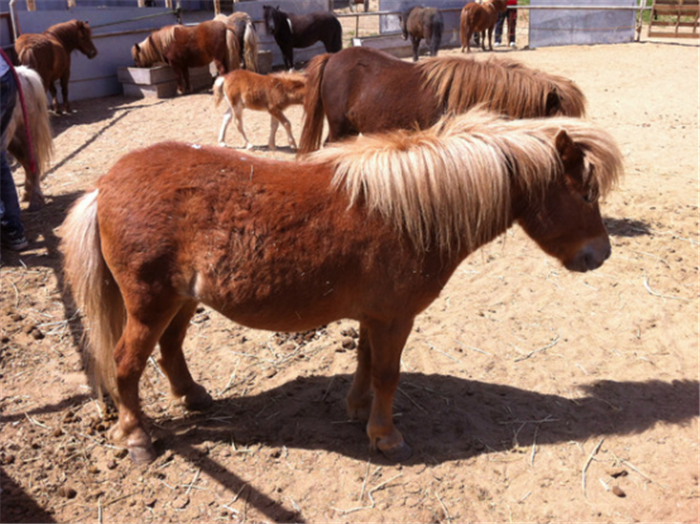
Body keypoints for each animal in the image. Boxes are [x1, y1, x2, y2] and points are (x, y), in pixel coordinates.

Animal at [5, 66, 54, 210]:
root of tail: (24, 72)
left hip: (25, 134)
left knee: (33, 163)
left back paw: (35, 199)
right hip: (13, 140)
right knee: (27, 164)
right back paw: (27, 194)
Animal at [61, 109, 624, 462]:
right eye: (586, 194)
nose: (600, 254)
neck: (410, 211)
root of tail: (105, 184)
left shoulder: (375, 316)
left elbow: (366, 363)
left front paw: (358, 412)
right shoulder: (395, 318)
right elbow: (388, 374)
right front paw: (387, 436)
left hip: (179, 301)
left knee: (171, 349)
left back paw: (193, 397)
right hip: (148, 303)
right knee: (127, 364)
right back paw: (136, 437)